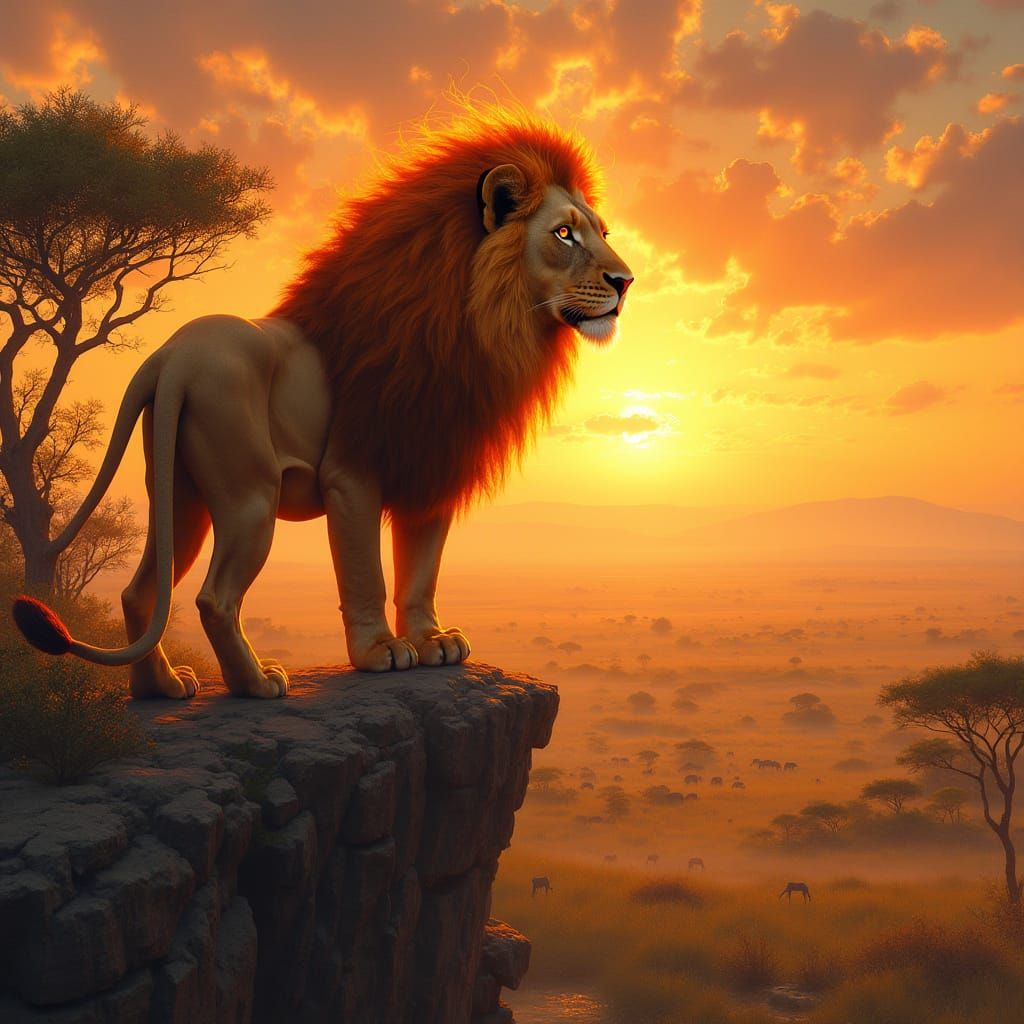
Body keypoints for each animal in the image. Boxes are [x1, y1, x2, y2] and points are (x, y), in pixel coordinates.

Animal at [13, 104, 634, 699]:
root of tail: (171, 356)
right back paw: (256, 685)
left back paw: (159, 689)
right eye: (564, 234)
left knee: (139, 590)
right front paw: (381, 651)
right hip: (248, 494)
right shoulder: (352, 473)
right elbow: (365, 573)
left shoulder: (430, 467)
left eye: (601, 231)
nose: (626, 281)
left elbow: (421, 571)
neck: (477, 324)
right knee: (214, 597)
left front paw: (433, 640)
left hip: (180, 495)